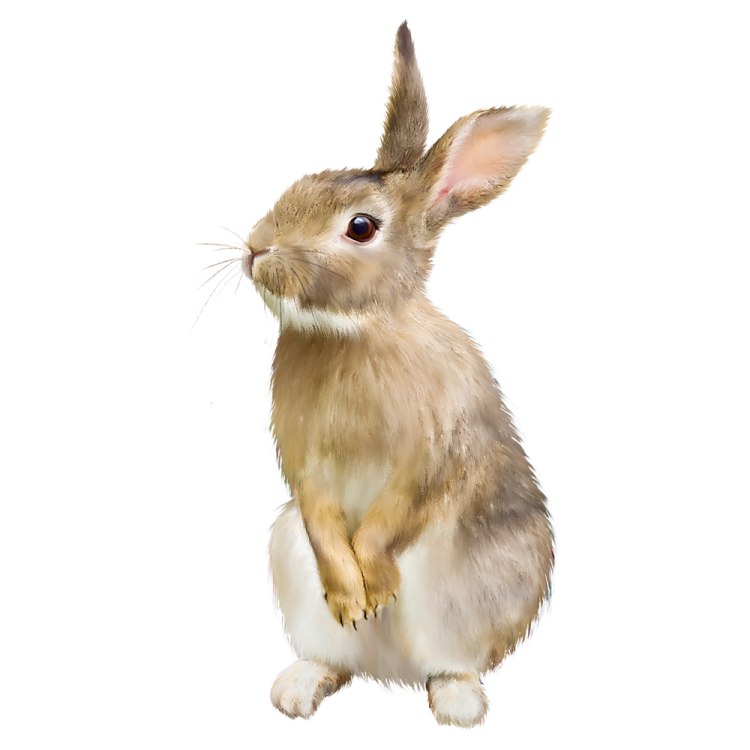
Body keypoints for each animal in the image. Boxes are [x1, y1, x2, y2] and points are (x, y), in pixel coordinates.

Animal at [240, 19, 558, 731]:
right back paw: (300, 687)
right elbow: (323, 512)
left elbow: (395, 511)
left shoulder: (431, 448)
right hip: (289, 556)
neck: (354, 332)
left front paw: (376, 585)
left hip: (481, 582)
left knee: (450, 663)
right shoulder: (304, 465)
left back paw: (457, 704)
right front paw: (354, 596)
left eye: (361, 227)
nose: (253, 250)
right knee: (334, 655)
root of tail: (390, 677)